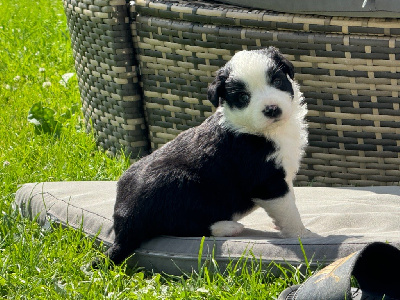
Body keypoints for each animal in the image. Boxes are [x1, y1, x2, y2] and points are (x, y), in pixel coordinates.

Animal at [104, 47, 314, 264]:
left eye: (277, 81)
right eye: (243, 97)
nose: (272, 109)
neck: (262, 130)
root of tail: (124, 225)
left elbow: (290, 200)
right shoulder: (266, 180)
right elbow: (287, 209)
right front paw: (302, 235)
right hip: (181, 184)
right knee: (184, 227)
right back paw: (229, 227)